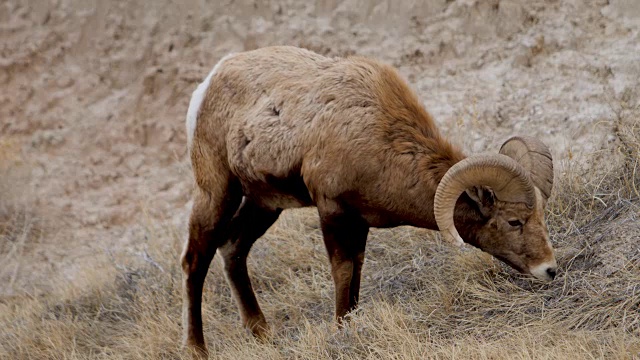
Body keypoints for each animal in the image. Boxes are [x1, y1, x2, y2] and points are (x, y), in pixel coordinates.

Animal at [180, 44, 556, 354]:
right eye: (514, 221)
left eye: (541, 217)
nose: (549, 269)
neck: (380, 139)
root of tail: (208, 85)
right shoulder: (332, 211)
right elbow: (343, 273)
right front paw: (340, 330)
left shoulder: (358, 223)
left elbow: (356, 274)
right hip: (218, 193)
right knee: (195, 260)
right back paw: (197, 348)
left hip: (264, 204)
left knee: (233, 248)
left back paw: (262, 334)